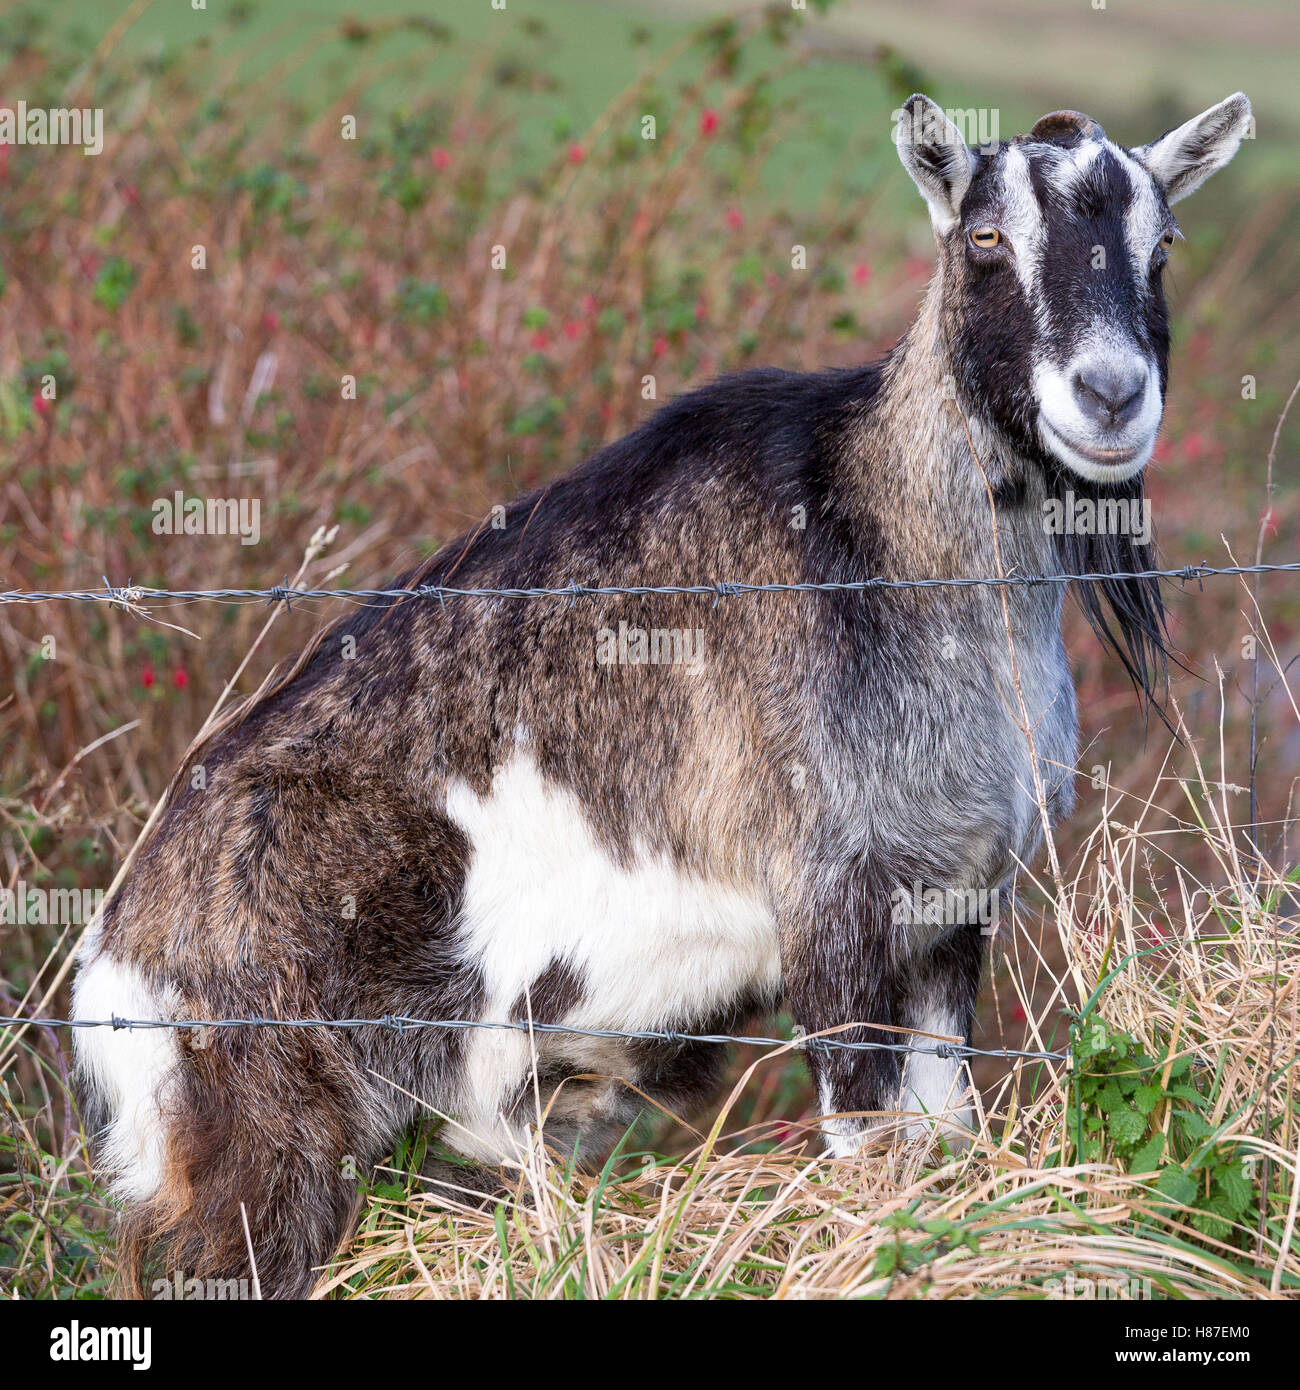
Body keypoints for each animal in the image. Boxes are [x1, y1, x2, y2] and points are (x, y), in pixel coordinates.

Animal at [71, 92, 1251, 1295]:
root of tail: (118, 955)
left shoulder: (953, 905)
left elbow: (941, 1134)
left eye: (1163, 245)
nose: (1110, 395)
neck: (899, 548)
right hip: (260, 1142)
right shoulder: (828, 898)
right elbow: (863, 1143)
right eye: (984, 237)